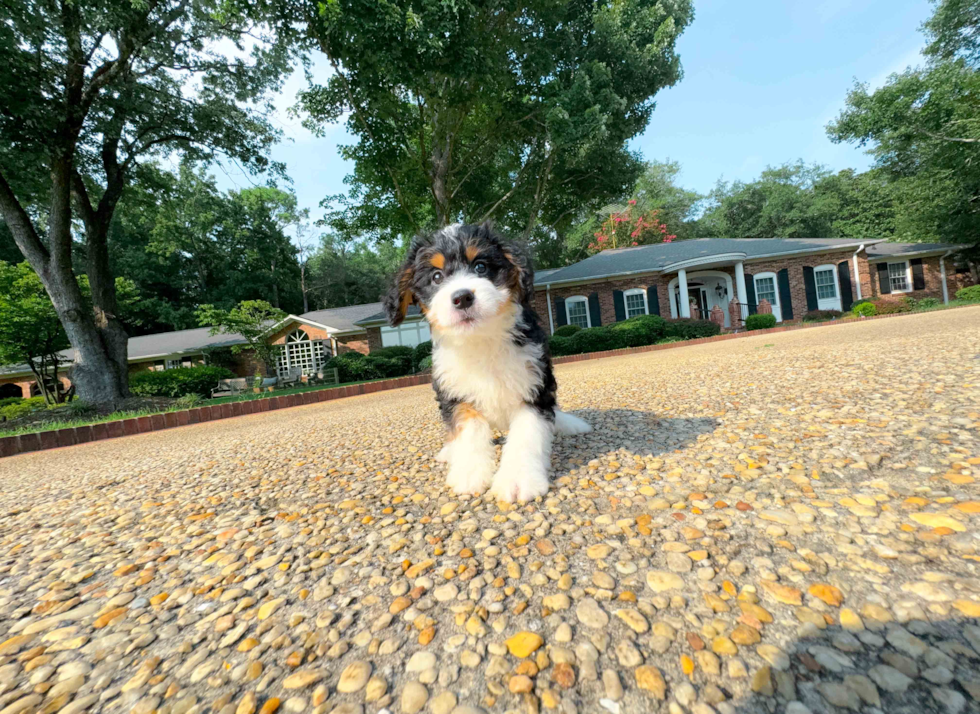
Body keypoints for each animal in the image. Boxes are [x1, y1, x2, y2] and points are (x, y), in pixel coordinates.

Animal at [382, 221, 588, 500]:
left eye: (480, 266)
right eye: (436, 277)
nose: (462, 298)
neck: (481, 339)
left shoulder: (534, 384)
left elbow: (527, 433)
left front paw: (518, 480)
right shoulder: (455, 391)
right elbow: (469, 431)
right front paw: (469, 474)